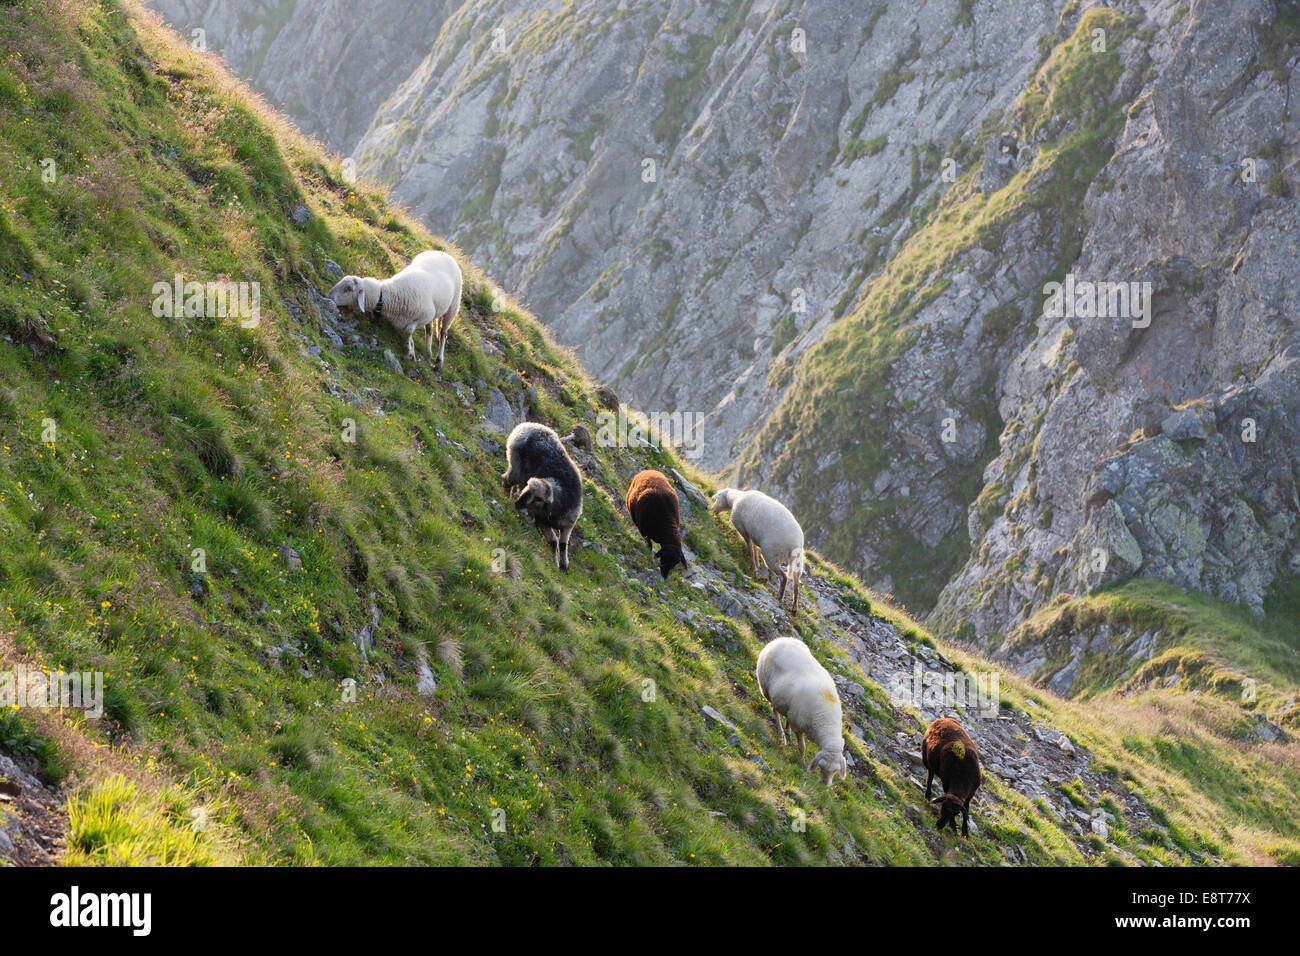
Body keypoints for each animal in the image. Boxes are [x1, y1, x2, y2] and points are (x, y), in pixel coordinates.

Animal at [332, 251, 465, 369]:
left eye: (348, 288)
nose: (330, 296)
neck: (388, 295)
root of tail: (444, 253)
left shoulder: (425, 315)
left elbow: (408, 331)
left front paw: (408, 352)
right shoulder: (422, 316)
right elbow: (410, 333)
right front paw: (411, 349)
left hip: (453, 307)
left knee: (443, 333)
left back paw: (439, 361)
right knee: (429, 329)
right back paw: (428, 351)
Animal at [501, 424, 585, 572]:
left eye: (538, 499)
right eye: (528, 491)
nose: (518, 504)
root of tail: (527, 426)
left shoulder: (569, 524)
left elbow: (562, 544)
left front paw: (564, 564)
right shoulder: (542, 520)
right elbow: (554, 542)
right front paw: (556, 563)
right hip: (516, 467)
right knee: (506, 480)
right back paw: (506, 496)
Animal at [759, 634, 847, 785]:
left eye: (836, 771)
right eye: (821, 766)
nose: (824, 785)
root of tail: (780, 639)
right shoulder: (799, 726)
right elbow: (802, 747)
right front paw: (803, 764)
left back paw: (786, 730)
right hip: (766, 689)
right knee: (775, 711)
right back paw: (782, 736)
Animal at [920, 712, 977, 842]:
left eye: (955, 814)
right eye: (942, 808)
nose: (939, 825)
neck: (963, 778)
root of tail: (943, 719)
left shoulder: (971, 794)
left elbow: (966, 810)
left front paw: (965, 833)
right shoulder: (946, 783)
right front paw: (954, 827)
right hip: (927, 759)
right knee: (930, 777)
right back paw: (928, 795)